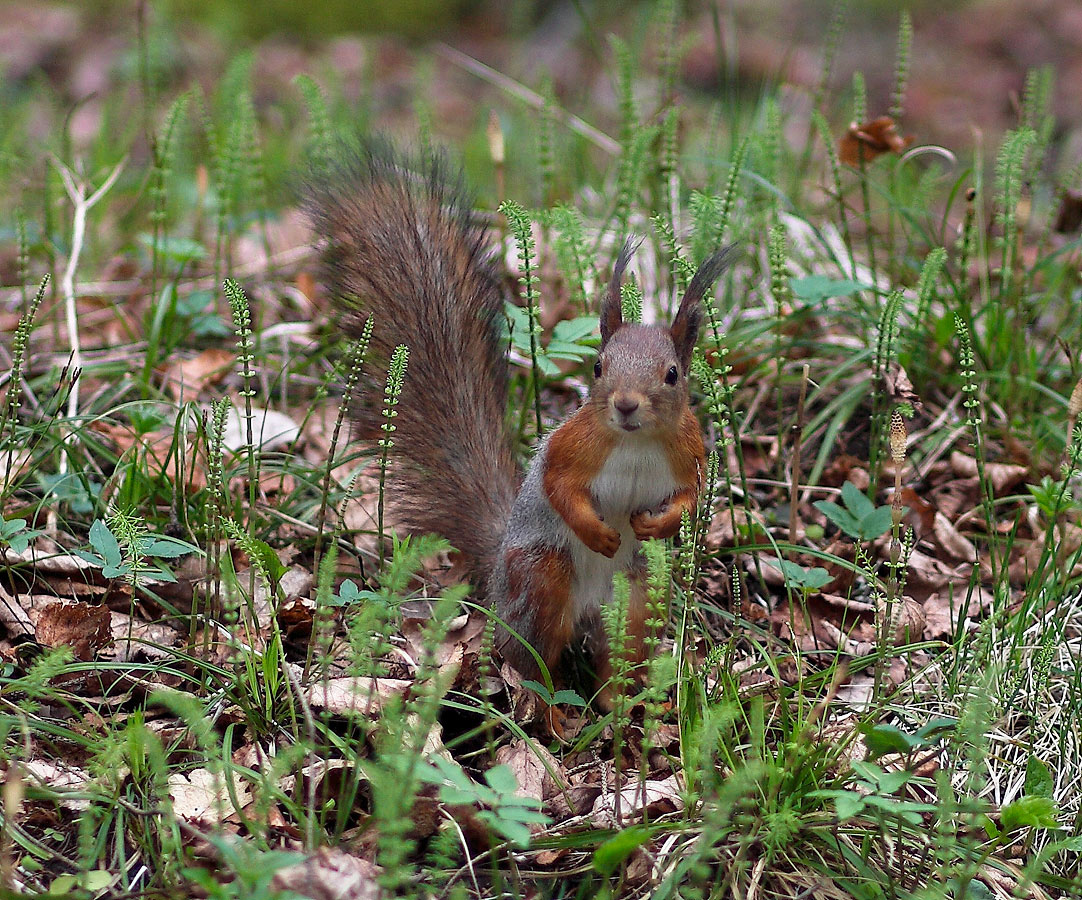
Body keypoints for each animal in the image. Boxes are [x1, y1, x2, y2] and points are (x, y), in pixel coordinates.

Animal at [309, 140, 740, 713]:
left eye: (672, 374)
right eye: (598, 366)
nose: (625, 405)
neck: (634, 442)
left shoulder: (688, 449)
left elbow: (692, 495)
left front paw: (657, 524)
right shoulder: (574, 444)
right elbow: (558, 485)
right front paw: (597, 530)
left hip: (639, 595)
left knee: (617, 655)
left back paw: (622, 705)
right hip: (539, 576)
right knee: (529, 657)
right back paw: (551, 710)